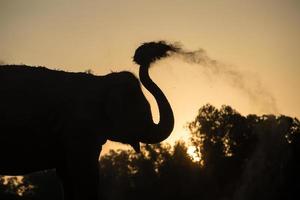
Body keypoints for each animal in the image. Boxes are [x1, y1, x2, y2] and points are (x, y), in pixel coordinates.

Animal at [0, 41, 175, 199]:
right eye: (143, 111)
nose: (147, 53)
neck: (100, 81)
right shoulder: (80, 130)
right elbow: (85, 174)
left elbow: (67, 176)